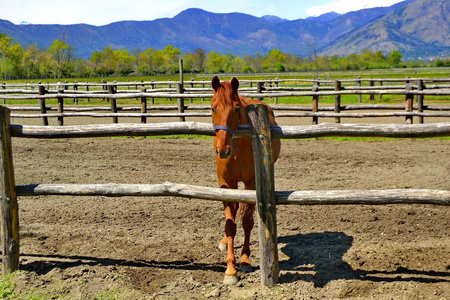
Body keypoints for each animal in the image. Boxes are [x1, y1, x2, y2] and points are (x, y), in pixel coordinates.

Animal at [212, 76, 282, 284]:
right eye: (213, 108)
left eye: (236, 108)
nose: (223, 149)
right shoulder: (226, 184)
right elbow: (230, 224)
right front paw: (230, 269)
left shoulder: (251, 183)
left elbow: (247, 221)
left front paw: (244, 261)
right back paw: (223, 241)